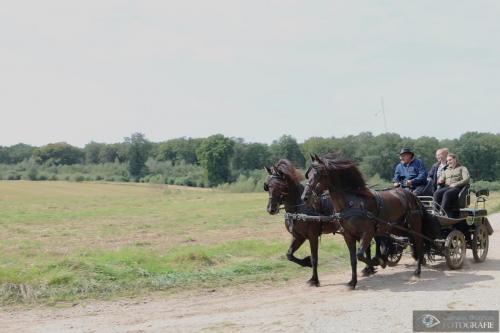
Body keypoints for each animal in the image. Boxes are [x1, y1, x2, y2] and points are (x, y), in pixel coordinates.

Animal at [264, 158, 376, 286]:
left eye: (280, 185)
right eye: (268, 186)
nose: (271, 209)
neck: (299, 208)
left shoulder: (312, 236)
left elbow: (314, 258)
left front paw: (314, 279)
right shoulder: (298, 236)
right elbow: (289, 255)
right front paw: (306, 262)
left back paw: (369, 268)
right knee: (367, 246)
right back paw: (368, 269)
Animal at [300, 153, 438, 288]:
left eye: (319, 173)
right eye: (308, 174)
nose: (305, 197)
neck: (351, 203)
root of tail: (413, 196)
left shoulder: (367, 233)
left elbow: (360, 255)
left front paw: (378, 262)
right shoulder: (348, 235)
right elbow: (353, 259)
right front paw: (353, 282)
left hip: (414, 226)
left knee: (419, 243)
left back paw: (417, 272)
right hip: (399, 228)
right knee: (412, 242)